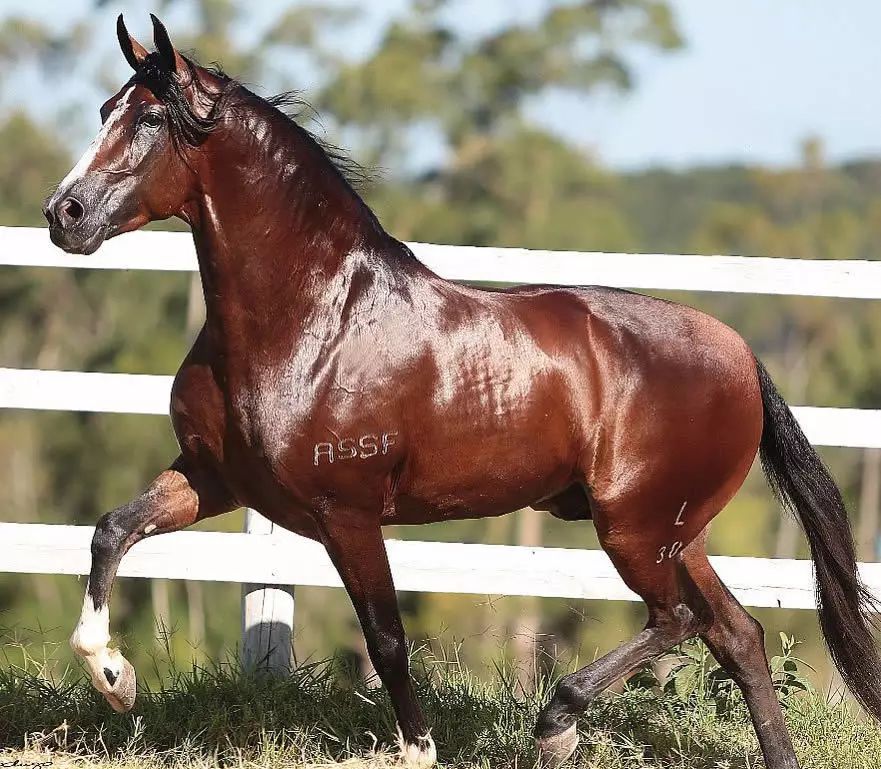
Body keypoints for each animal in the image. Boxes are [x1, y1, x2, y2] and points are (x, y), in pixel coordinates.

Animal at [43, 13, 880, 768]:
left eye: (151, 117)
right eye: (104, 109)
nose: (64, 214)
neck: (309, 320)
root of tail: (739, 352)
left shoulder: (346, 515)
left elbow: (385, 638)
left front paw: (419, 750)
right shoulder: (215, 478)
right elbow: (111, 529)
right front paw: (116, 678)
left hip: (634, 528)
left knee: (676, 617)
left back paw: (557, 721)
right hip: (675, 532)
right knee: (734, 633)